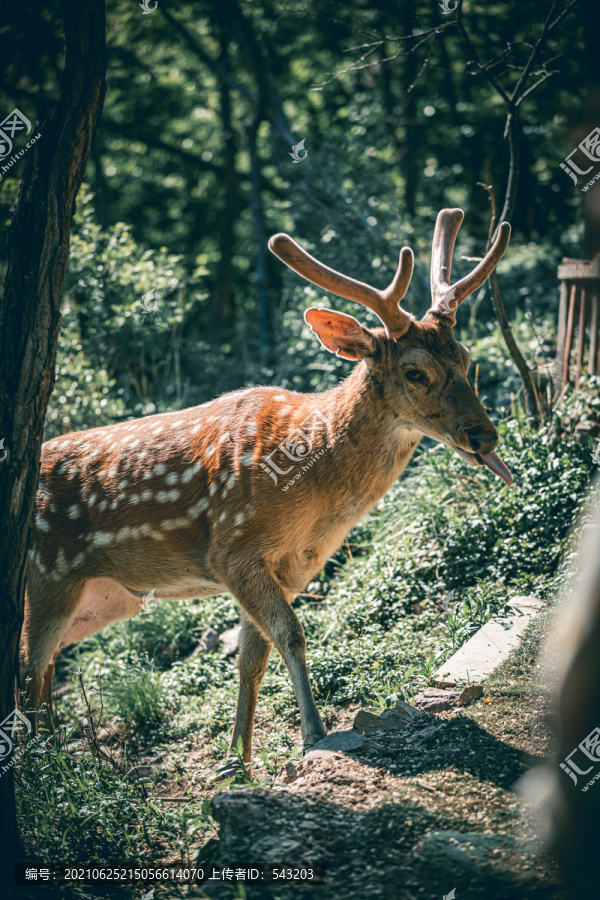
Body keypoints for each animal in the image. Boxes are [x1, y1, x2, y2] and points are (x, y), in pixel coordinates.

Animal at [22, 209, 510, 760]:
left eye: (465, 359)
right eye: (416, 372)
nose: (484, 434)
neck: (313, 491)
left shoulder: (289, 565)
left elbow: (251, 658)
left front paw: (238, 757)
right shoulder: (232, 547)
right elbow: (289, 634)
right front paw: (312, 733)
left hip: (108, 595)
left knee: (44, 667)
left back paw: (55, 751)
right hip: (48, 574)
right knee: (30, 665)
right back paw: (45, 762)